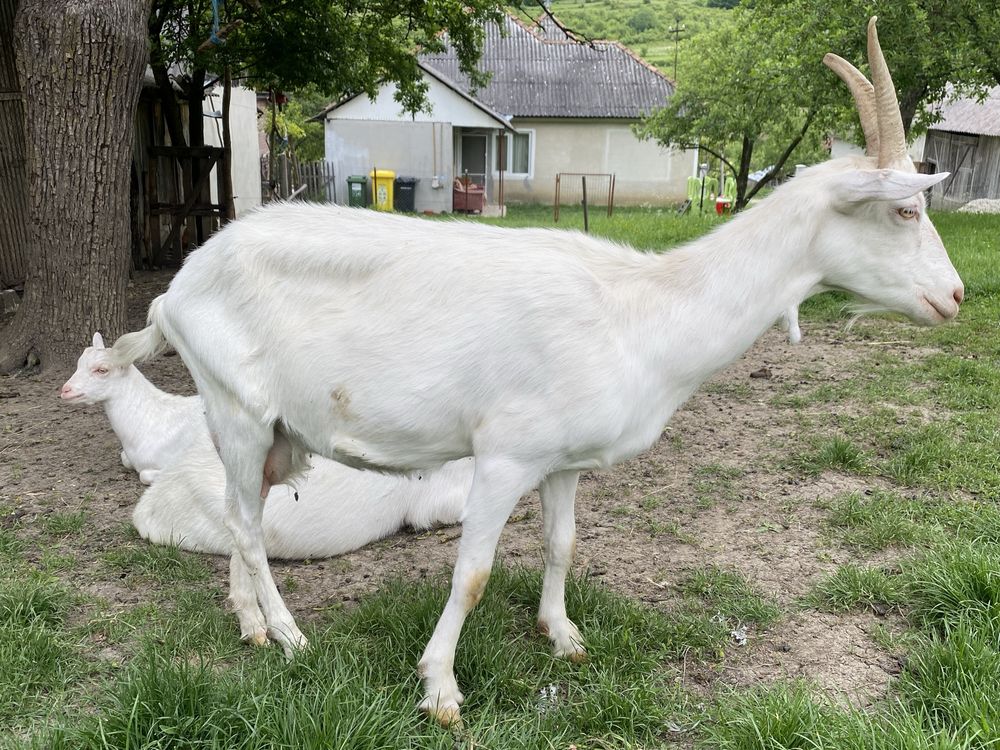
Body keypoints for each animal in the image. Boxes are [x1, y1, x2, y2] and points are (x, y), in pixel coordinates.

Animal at [107, 19, 960, 728]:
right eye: (906, 211)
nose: (953, 297)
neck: (638, 313)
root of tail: (177, 287)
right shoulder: (504, 454)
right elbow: (473, 572)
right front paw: (441, 690)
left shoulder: (563, 460)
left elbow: (563, 543)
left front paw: (563, 633)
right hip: (238, 406)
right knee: (250, 528)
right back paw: (291, 637)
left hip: (268, 429)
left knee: (238, 511)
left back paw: (252, 626)